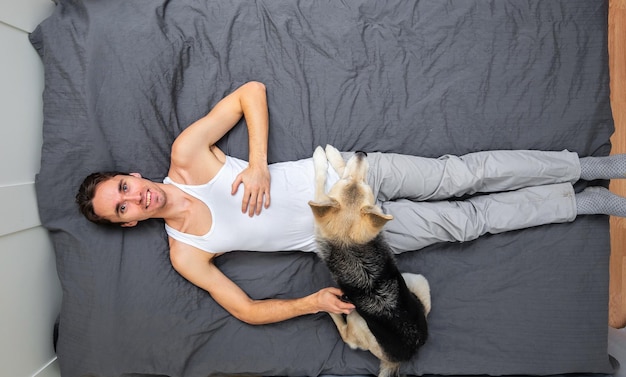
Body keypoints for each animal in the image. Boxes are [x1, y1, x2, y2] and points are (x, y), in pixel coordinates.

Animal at [308, 145, 428, 377]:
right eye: (351, 182)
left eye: (364, 184)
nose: (361, 153)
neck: (350, 246)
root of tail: (404, 356)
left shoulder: (321, 219)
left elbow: (321, 181)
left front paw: (324, 157)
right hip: (417, 280)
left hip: (357, 320)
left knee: (347, 335)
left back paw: (327, 307)